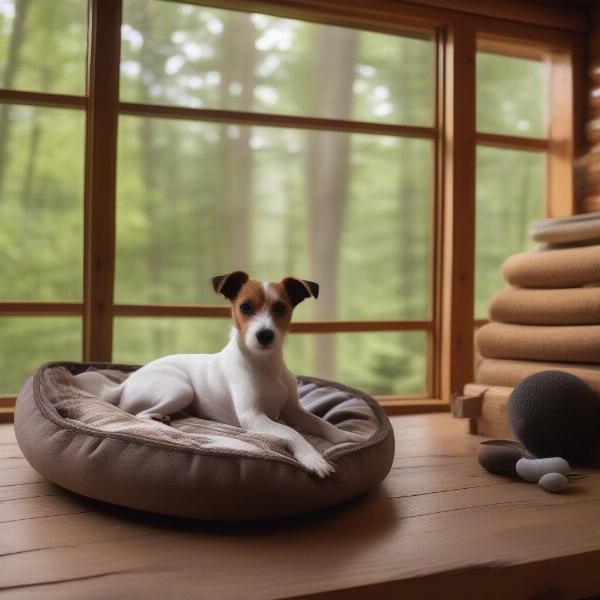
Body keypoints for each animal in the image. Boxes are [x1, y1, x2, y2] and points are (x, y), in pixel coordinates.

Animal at [103, 272, 360, 478]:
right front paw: (313, 458)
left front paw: (345, 436)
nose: (264, 335)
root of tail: (126, 382)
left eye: (280, 309)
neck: (265, 365)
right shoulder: (253, 416)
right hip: (180, 389)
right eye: (245, 307)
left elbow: (321, 423)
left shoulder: (294, 411)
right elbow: (291, 432)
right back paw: (160, 420)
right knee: (139, 414)